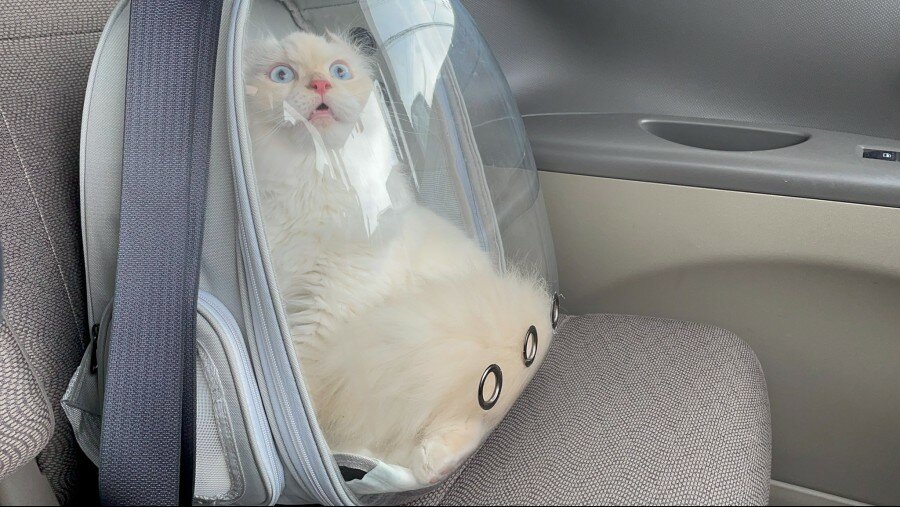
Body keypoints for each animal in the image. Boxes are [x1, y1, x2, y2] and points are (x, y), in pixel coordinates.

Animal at [244, 31, 552, 485]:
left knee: (474, 417)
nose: (319, 84)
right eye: (282, 75)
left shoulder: (324, 309)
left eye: (339, 71)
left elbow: (307, 382)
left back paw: (429, 462)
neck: (311, 180)